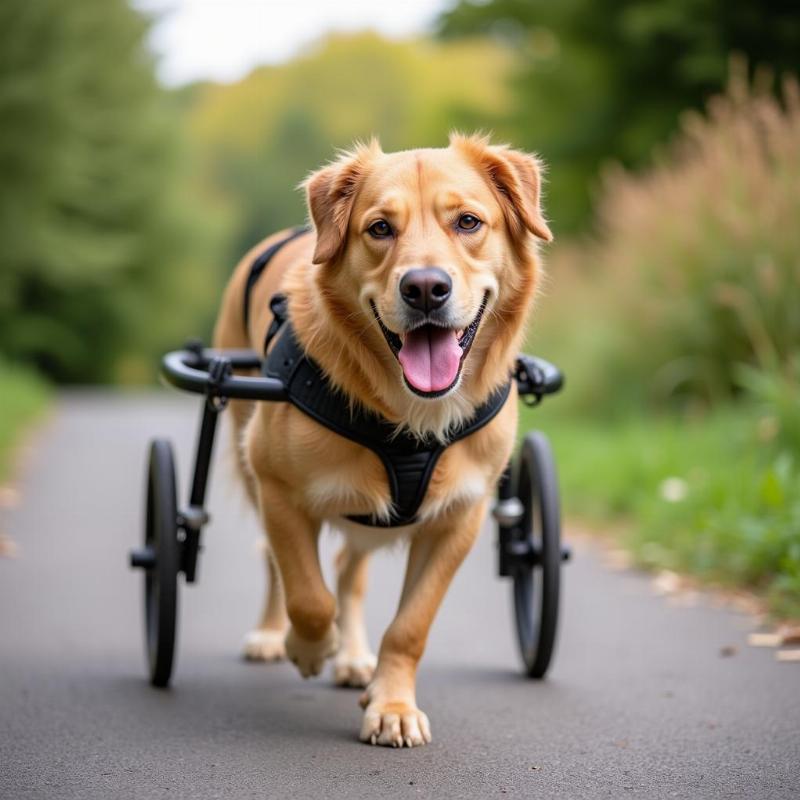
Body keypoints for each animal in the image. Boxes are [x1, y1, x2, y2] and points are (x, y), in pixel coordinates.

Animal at [209, 131, 552, 744]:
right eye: (379, 228)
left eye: (468, 221)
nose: (425, 288)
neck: (413, 413)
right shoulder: (278, 489)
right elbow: (307, 593)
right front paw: (308, 645)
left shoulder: (458, 519)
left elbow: (409, 625)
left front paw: (390, 704)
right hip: (249, 457)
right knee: (277, 561)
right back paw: (276, 637)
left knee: (349, 569)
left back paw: (351, 658)